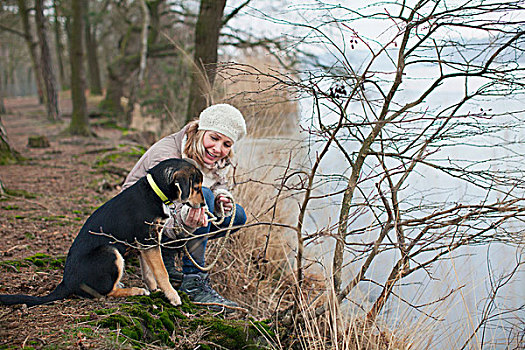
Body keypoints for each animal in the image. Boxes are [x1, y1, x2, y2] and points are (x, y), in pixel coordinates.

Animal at [0, 158, 205, 306]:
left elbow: (148, 271)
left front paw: (155, 289)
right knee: (105, 292)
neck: (155, 192)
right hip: (110, 252)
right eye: (196, 187)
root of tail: (66, 283)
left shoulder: (145, 243)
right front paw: (172, 296)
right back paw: (134, 290)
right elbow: (161, 272)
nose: (203, 204)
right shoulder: (149, 241)